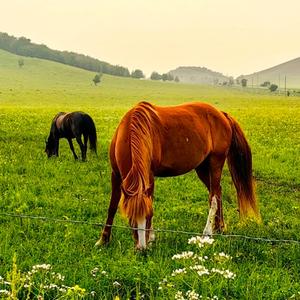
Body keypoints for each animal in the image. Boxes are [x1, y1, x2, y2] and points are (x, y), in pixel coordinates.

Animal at [96, 102, 260, 250]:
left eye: (147, 216)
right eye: (130, 218)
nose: (141, 249)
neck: (132, 131)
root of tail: (222, 114)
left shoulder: (149, 176)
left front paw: (150, 239)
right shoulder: (116, 175)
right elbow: (112, 206)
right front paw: (103, 240)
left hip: (216, 163)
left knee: (213, 197)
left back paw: (207, 233)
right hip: (202, 168)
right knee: (218, 192)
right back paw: (220, 228)